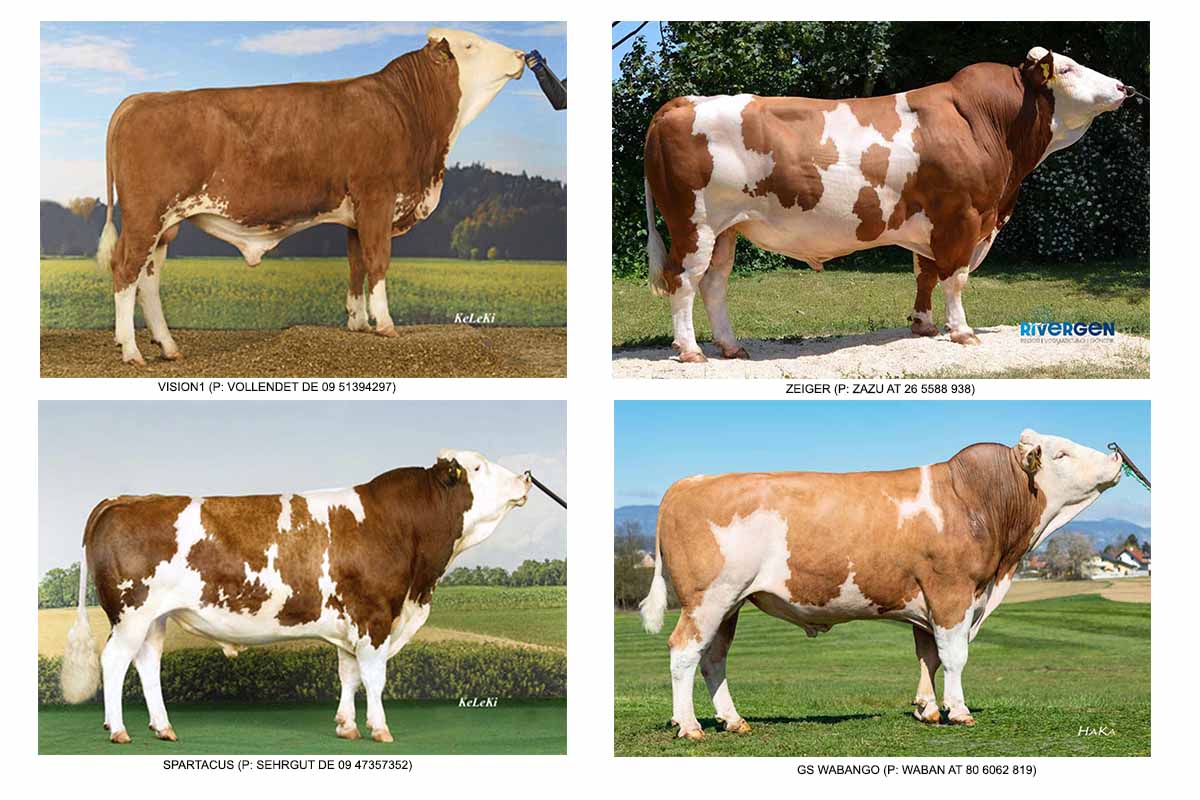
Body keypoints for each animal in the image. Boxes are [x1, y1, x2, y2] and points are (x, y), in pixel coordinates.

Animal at [59, 450, 531, 744]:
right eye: (478, 467)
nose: (526, 476)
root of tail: (126, 498)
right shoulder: (375, 616)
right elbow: (374, 676)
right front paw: (379, 729)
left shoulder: (350, 621)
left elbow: (349, 675)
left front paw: (346, 726)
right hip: (130, 612)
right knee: (114, 661)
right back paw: (118, 729)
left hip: (155, 616)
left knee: (147, 664)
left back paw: (162, 727)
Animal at [96, 28, 526, 366]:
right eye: (470, 45)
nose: (522, 56)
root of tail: (139, 99)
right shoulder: (377, 196)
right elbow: (378, 261)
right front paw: (385, 325)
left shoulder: (356, 213)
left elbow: (357, 265)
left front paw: (358, 323)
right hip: (145, 215)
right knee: (125, 269)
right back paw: (131, 350)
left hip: (165, 224)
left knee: (149, 278)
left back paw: (168, 346)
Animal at [638, 430, 1124, 739]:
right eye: (1060, 455)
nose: (1116, 456)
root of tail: (690, 481)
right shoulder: (952, 592)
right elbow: (955, 656)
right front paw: (959, 711)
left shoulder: (928, 600)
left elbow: (929, 656)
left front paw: (928, 709)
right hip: (707, 598)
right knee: (684, 652)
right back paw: (690, 727)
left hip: (731, 603)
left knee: (713, 659)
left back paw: (732, 721)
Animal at [643, 48, 1133, 362]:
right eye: (1067, 68)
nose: (1124, 86)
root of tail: (684, 101)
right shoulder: (963, 216)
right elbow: (955, 278)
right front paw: (962, 332)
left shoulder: (934, 220)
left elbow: (925, 274)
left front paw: (924, 325)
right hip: (695, 224)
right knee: (684, 282)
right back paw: (690, 351)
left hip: (726, 228)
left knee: (714, 284)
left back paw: (729, 346)